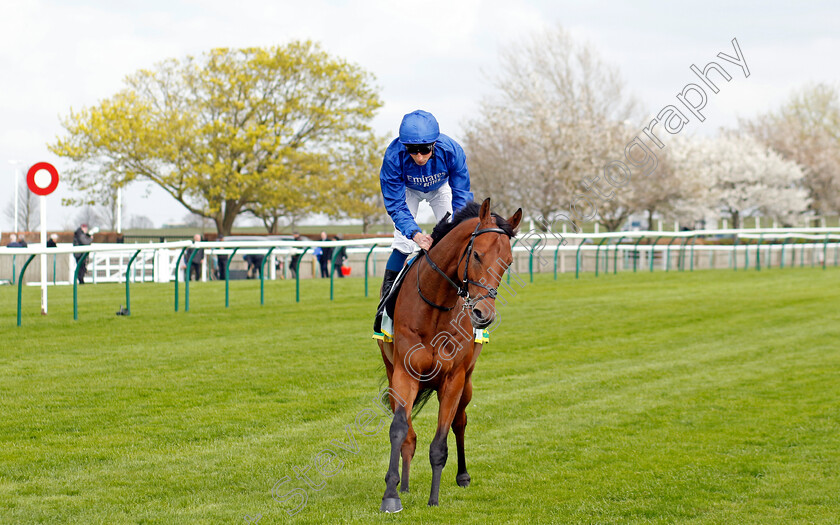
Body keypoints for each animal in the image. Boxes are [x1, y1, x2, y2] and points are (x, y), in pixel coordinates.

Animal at [378, 198, 520, 512]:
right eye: (477, 254)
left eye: (508, 262)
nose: (483, 314)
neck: (435, 307)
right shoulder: (404, 373)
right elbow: (399, 430)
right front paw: (392, 493)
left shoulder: (453, 379)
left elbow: (441, 441)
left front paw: (434, 498)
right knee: (409, 432)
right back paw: (405, 484)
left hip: (467, 382)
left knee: (460, 423)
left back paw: (462, 475)